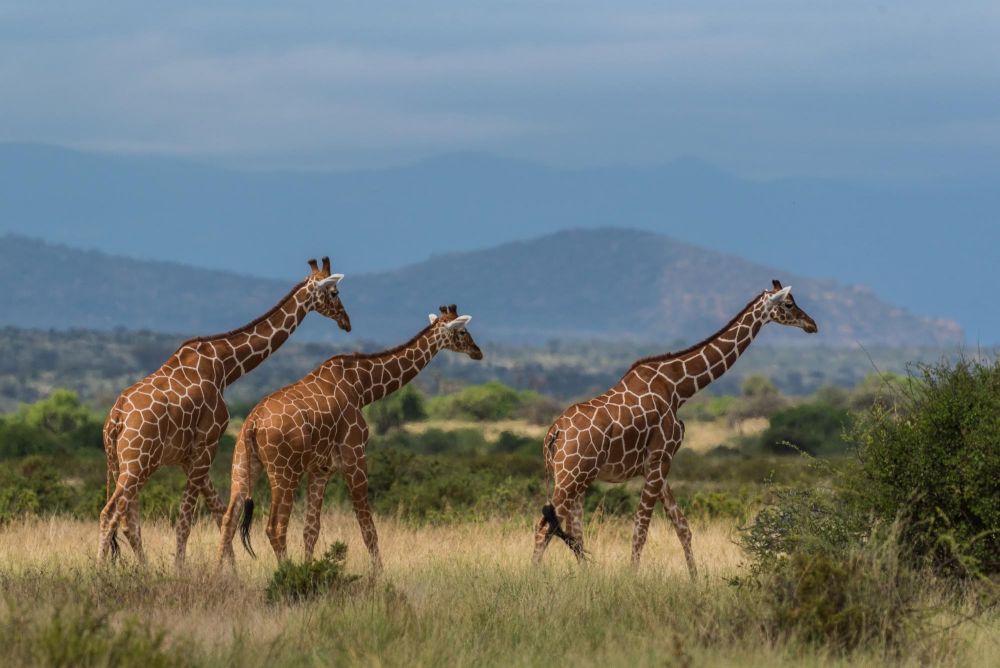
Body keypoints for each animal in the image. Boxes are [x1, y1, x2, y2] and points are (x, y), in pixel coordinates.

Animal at [97, 258, 354, 568]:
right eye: (334, 293)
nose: (346, 322)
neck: (225, 367)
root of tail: (115, 419)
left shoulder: (188, 456)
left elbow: (218, 512)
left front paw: (229, 571)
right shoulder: (207, 444)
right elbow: (187, 519)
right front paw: (181, 570)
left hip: (121, 462)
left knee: (128, 520)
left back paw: (142, 569)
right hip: (138, 462)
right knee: (110, 513)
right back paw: (98, 570)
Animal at [218, 306, 484, 572]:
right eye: (462, 331)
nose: (477, 351)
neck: (363, 388)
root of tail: (252, 424)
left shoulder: (321, 468)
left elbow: (311, 530)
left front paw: (309, 572)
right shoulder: (354, 457)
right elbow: (368, 528)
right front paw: (379, 575)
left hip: (243, 464)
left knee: (228, 520)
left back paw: (222, 574)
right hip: (285, 472)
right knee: (275, 527)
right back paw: (284, 573)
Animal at [536, 280, 816, 576]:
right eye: (789, 304)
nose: (812, 324)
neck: (679, 387)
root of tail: (553, 433)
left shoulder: (658, 463)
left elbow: (682, 526)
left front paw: (695, 579)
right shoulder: (660, 458)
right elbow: (641, 528)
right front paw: (632, 577)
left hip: (577, 477)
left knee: (572, 531)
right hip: (571, 475)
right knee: (545, 527)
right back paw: (533, 575)